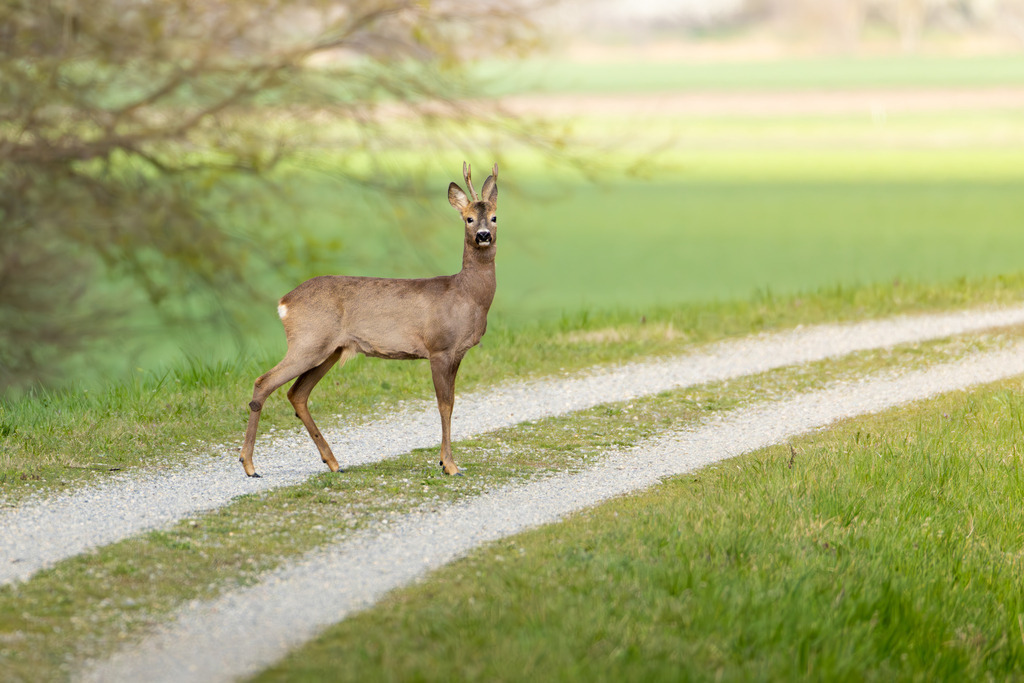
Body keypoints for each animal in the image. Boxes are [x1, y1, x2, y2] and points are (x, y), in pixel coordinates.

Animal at [239, 162, 499, 478]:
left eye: (495, 217)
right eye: (469, 218)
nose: (483, 235)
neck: (468, 296)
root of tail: (283, 303)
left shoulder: (456, 352)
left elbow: (450, 404)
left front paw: (446, 462)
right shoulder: (439, 348)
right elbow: (444, 405)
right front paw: (449, 465)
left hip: (329, 350)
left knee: (297, 393)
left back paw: (333, 462)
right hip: (308, 341)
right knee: (264, 382)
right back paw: (249, 464)